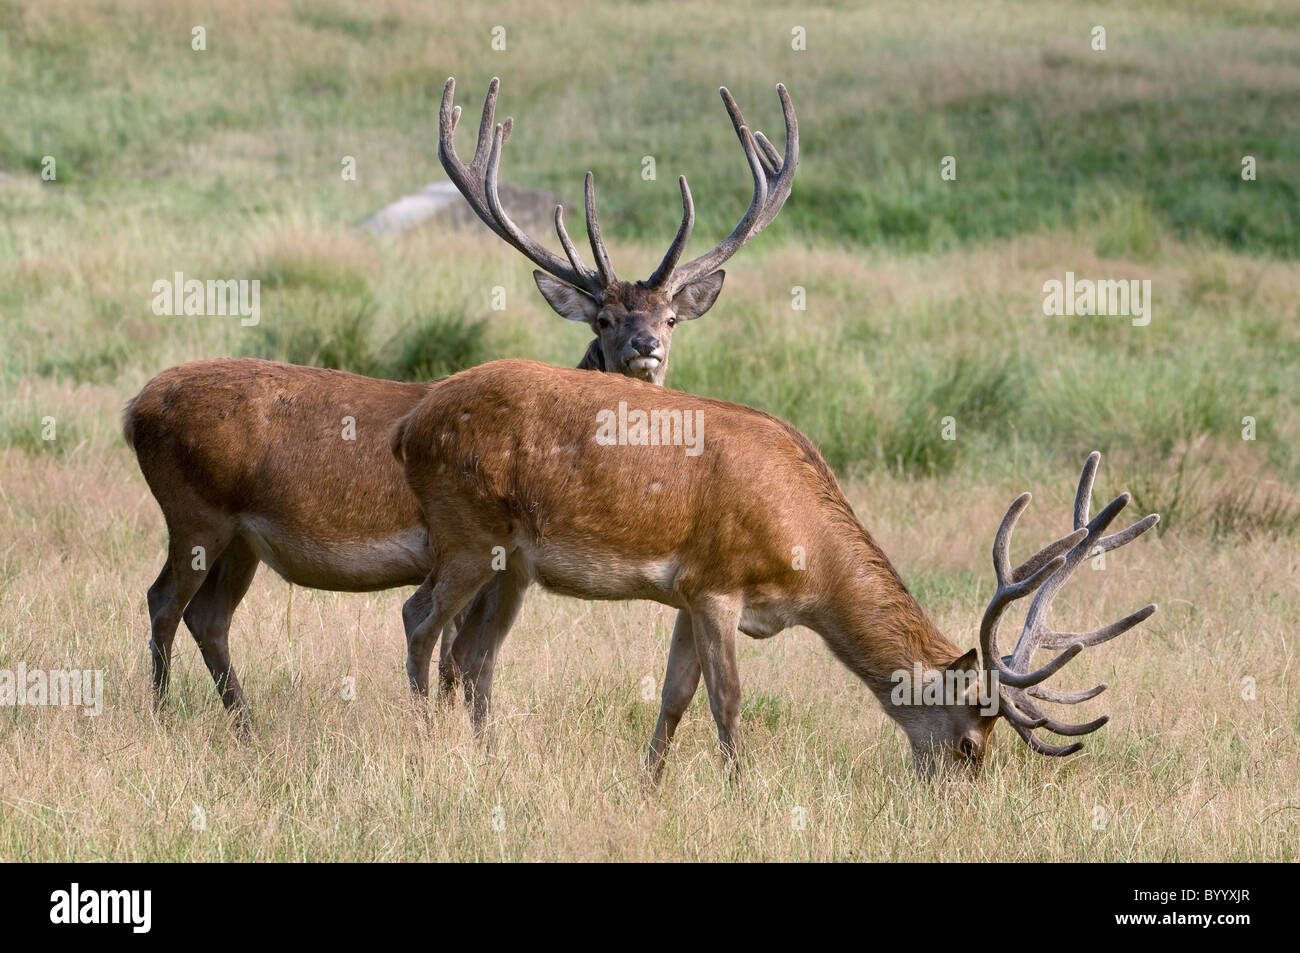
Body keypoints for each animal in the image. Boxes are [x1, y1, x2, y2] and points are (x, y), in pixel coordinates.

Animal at [124, 78, 790, 722]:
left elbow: (470, 662)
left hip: (243, 538)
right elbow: (457, 659)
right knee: (163, 601)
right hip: (195, 511)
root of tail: (134, 410)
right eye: (603, 319)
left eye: (671, 317)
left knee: (209, 616)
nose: (644, 345)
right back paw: (161, 714)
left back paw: (244, 725)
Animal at [392, 361, 1159, 774]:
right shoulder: (717, 585)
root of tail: (408, 426)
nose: (955, 797)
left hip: (511, 563)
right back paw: (422, 747)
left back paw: (480, 753)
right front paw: (739, 789)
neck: (806, 568)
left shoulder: (685, 594)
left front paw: (649, 785)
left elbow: (673, 697)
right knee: (419, 617)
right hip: (466, 532)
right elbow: (727, 702)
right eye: (971, 743)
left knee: (473, 651)